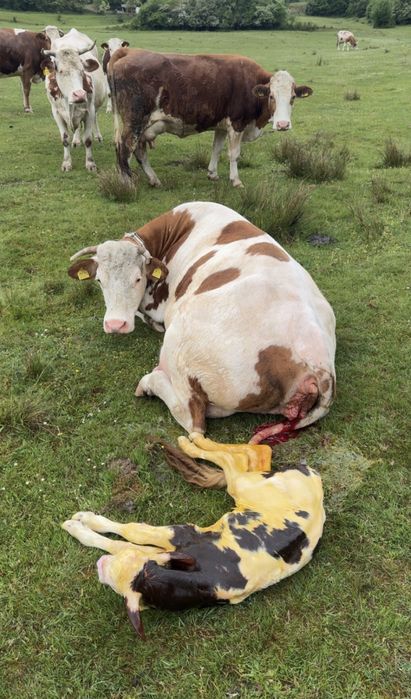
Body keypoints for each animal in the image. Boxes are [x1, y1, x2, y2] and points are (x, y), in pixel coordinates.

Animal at [41, 28, 107, 172]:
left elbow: (87, 139)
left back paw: (98, 136)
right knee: (77, 128)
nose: (80, 95)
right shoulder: (56, 113)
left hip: (95, 107)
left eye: (82, 70)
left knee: (95, 119)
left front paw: (90, 163)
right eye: (59, 71)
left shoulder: (89, 111)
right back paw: (76, 140)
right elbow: (65, 138)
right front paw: (66, 163)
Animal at [63, 433, 325, 638]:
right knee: (258, 452)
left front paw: (81, 522)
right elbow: (120, 543)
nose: (100, 565)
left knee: (238, 457)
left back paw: (192, 441)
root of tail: (314, 479)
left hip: (243, 486)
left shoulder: (181, 534)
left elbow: (132, 532)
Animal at [68, 201, 336, 443]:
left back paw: (149, 383)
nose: (115, 324)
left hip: (180, 343)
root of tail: (319, 365)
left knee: (194, 422)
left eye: (138, 278)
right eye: (99, 281)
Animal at [108, 49, 313, 187]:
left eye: (293, 98)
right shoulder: (237, 123)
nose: (283, 124)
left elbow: (216, 149)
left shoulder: (222, 126)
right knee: (125, 148)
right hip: (134, 121)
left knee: (139, 151)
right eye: (271, 96)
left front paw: (212, 174)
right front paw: (235, 180)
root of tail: (130, 52)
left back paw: (153, 179)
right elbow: (234, 154)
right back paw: (127, 184)